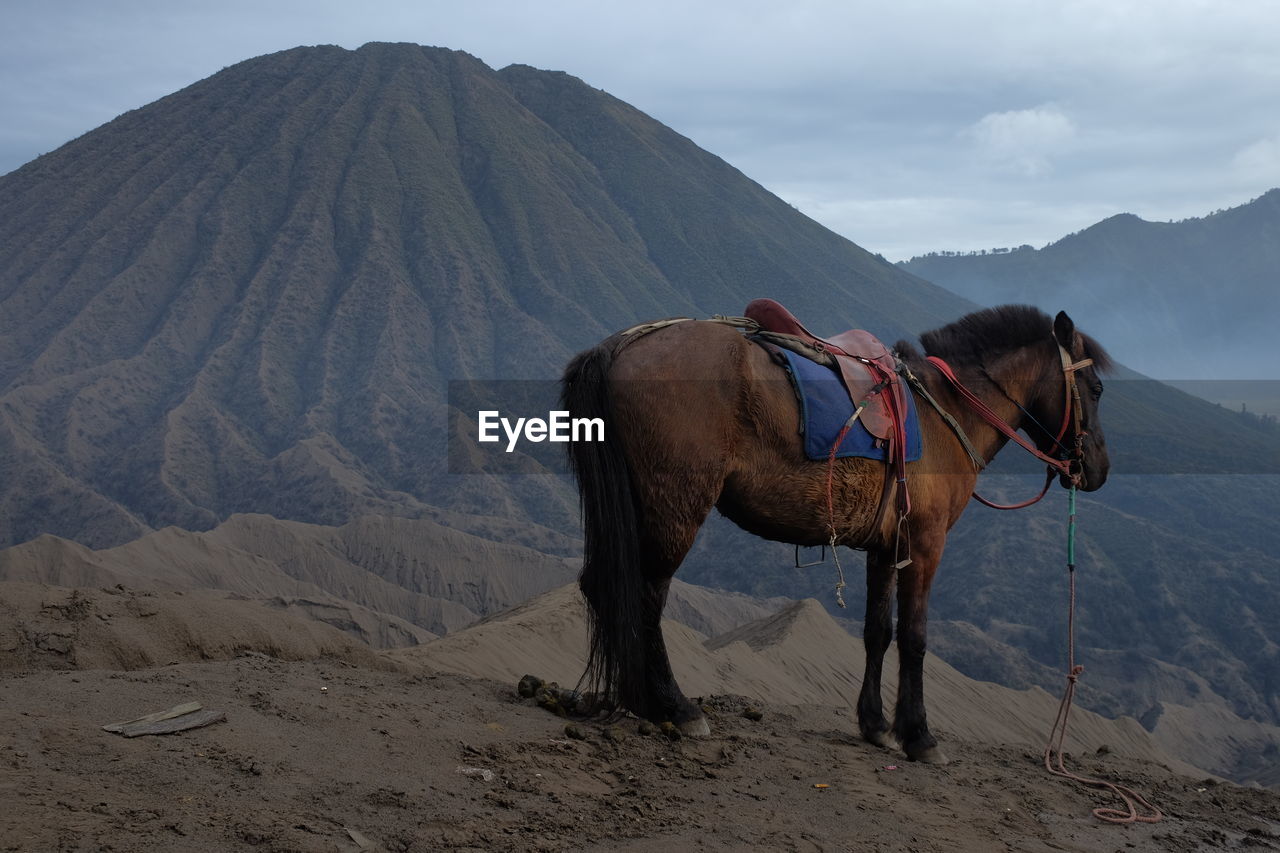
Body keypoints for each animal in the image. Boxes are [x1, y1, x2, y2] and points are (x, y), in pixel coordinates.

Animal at [560, 302, 1111, 758]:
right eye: (1098, 389)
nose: (1099, 469)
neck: (944, 411)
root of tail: (620, 346)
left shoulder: (886, 547)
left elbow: (877, 632)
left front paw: (876, 725)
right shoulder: (925, 544)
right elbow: (914, 637)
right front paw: (919, 735)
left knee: (607, 587)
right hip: (674, 509)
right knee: (647, 596)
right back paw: (675, 706)